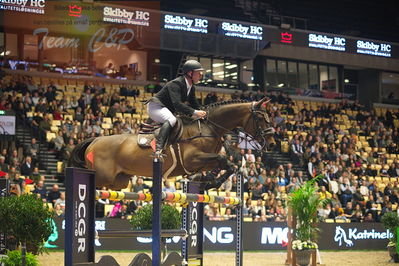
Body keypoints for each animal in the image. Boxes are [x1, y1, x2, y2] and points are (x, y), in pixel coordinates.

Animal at [69, 96, 276, 190]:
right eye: (261, 118)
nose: (273, 143)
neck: (209, 128)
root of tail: (95, 140)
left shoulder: (203, 161)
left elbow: (227, 164)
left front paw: (206, 181)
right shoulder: (192, 159)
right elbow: (225, 161)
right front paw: (209, 183)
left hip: (119, 181)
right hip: (103, 177)